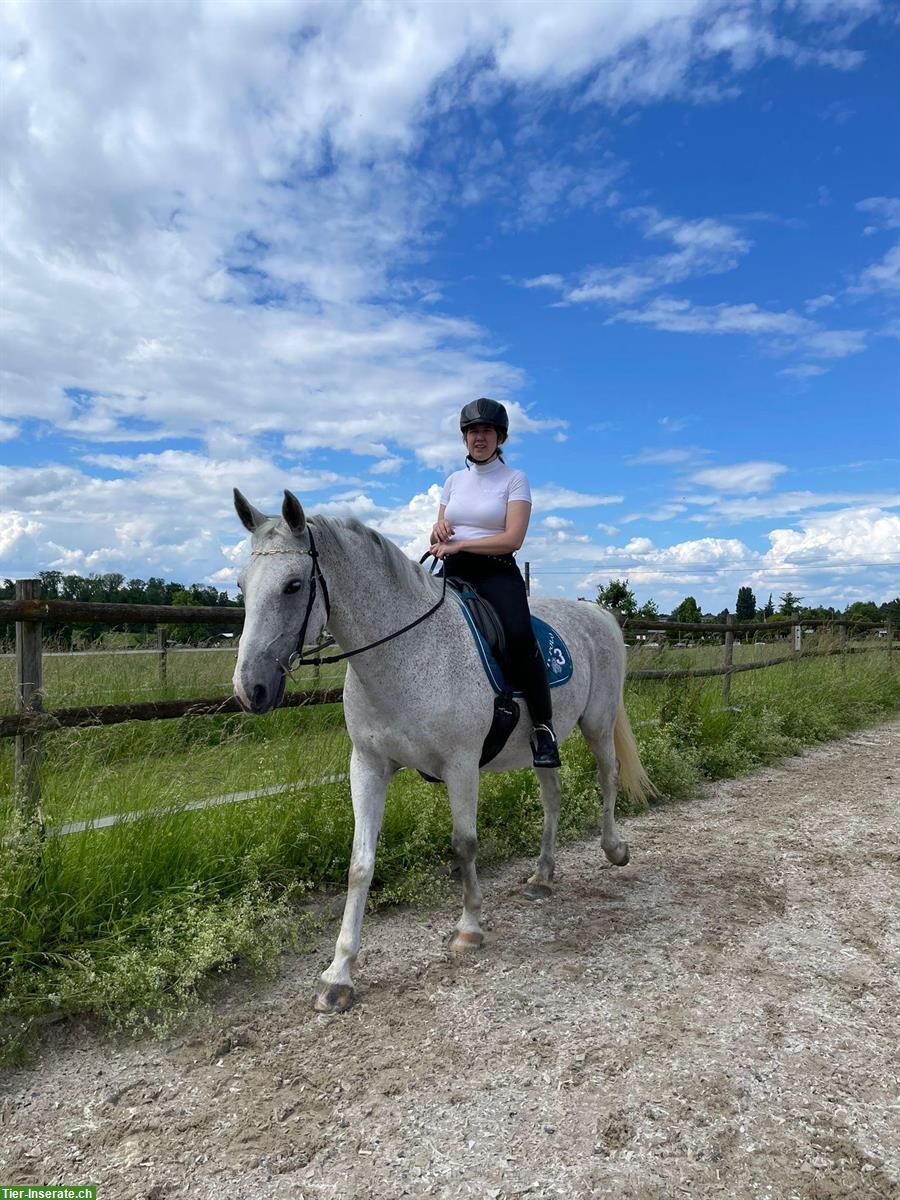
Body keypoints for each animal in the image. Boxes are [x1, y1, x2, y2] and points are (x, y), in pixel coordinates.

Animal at [232, 487, 657, 1012]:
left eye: (293, 585)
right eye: (241, 584)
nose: (250, 690)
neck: (406, 654)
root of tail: (597, 613)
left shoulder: (461, 765)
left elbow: (464, 843)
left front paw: (469, 928)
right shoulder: (368, 766)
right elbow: (359, 865)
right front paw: (339, 974)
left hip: (596, 723)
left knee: (608, 776)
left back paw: (614, 849)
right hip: (544, 741)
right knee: (552, 796)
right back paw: (541, 877)